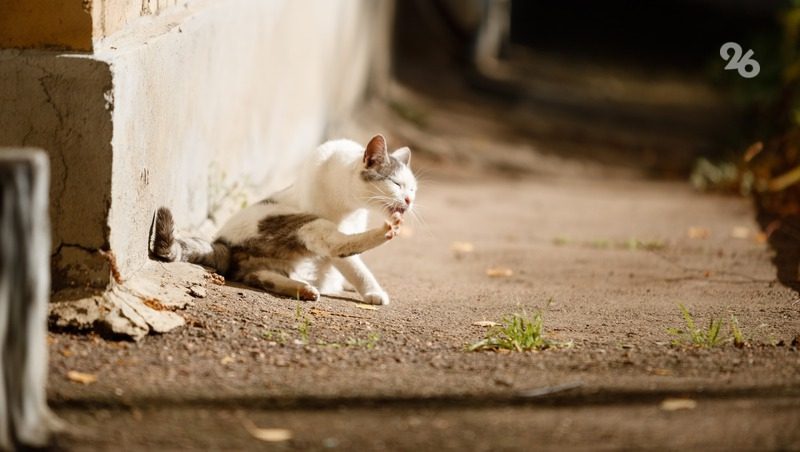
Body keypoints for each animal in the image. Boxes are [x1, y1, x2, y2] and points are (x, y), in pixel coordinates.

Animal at [148, 132, 418, 306]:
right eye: (396, 184)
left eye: (413, 188)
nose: (409, 200)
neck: (349, 204)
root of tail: (222, 244)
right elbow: (354, 265)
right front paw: (372, 291)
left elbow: (353, 264)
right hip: (301, 222)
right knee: (336, 244)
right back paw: (385, 231)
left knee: (260, 276)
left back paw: (304, 289)